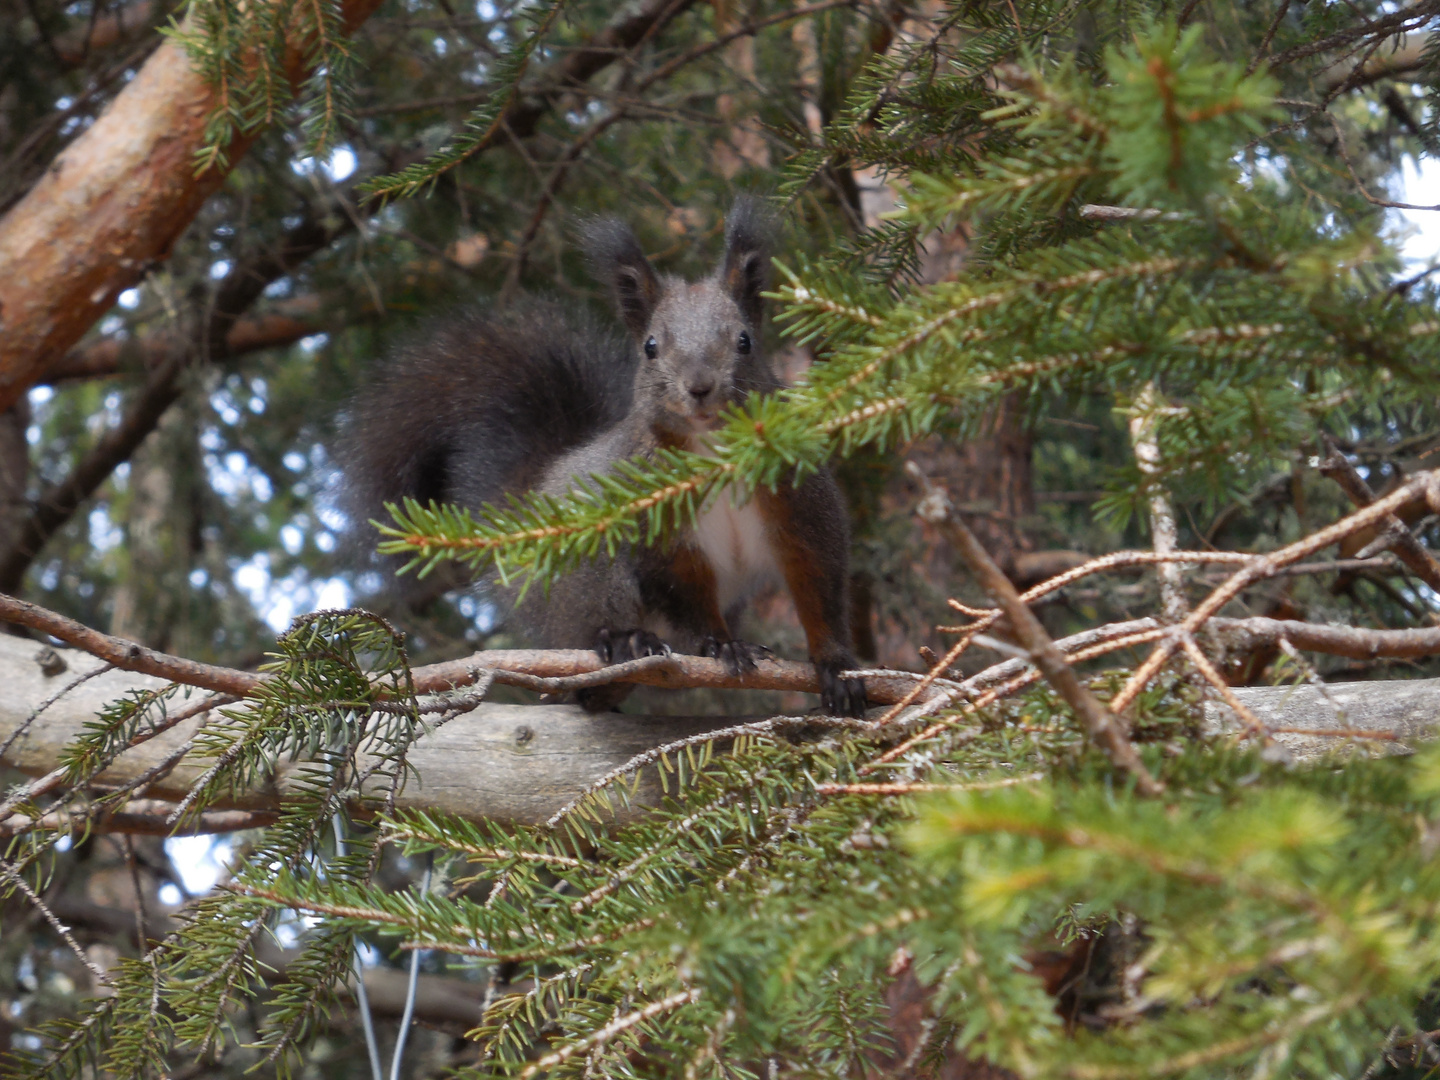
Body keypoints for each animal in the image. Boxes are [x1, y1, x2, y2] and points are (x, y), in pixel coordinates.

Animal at [339, 198, 864, 720]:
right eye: (650, 347)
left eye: (744, 341)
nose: (699, 387)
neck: (715, 451)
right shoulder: (659, 532)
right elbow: (687, 595)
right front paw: (721, 646)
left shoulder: (801, 501)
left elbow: (818, 582)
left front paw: (837, 665)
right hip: (589, 571)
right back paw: (623, 643)